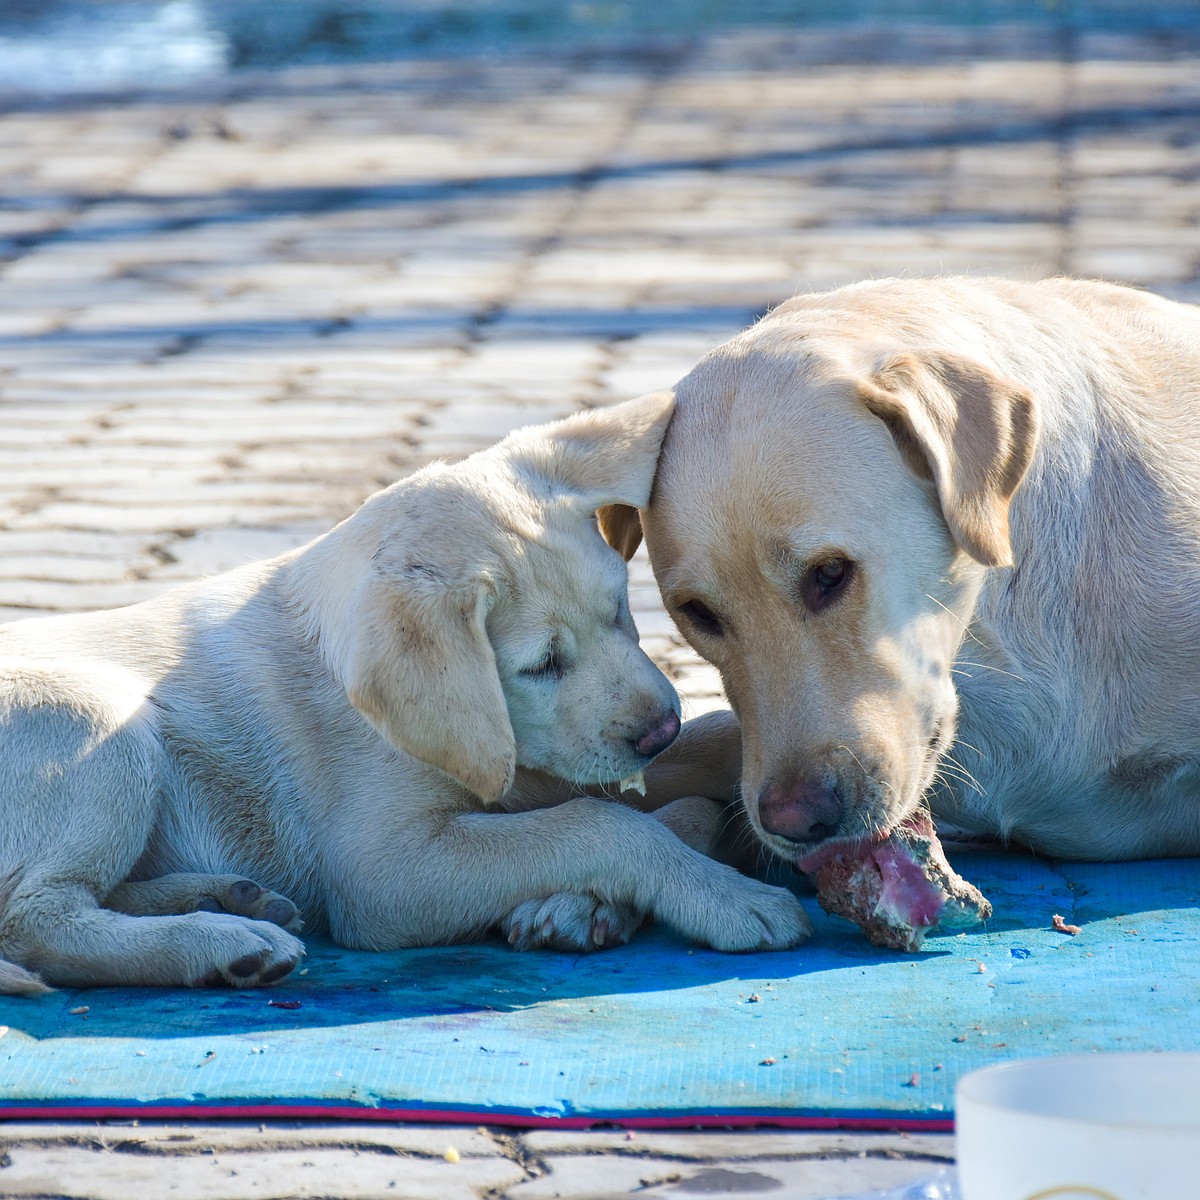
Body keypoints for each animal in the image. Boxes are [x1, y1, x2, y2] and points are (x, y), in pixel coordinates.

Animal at [0, 396, 816, 993]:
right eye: (542, 665)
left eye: (620, 609)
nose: (658, 731)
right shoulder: (386, 869)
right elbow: (599, 826)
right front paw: (730, 898)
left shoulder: (544, 770)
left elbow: (701, 758)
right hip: (95, 721)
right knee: (35, 919)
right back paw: (222, 942)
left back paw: (226, 898)